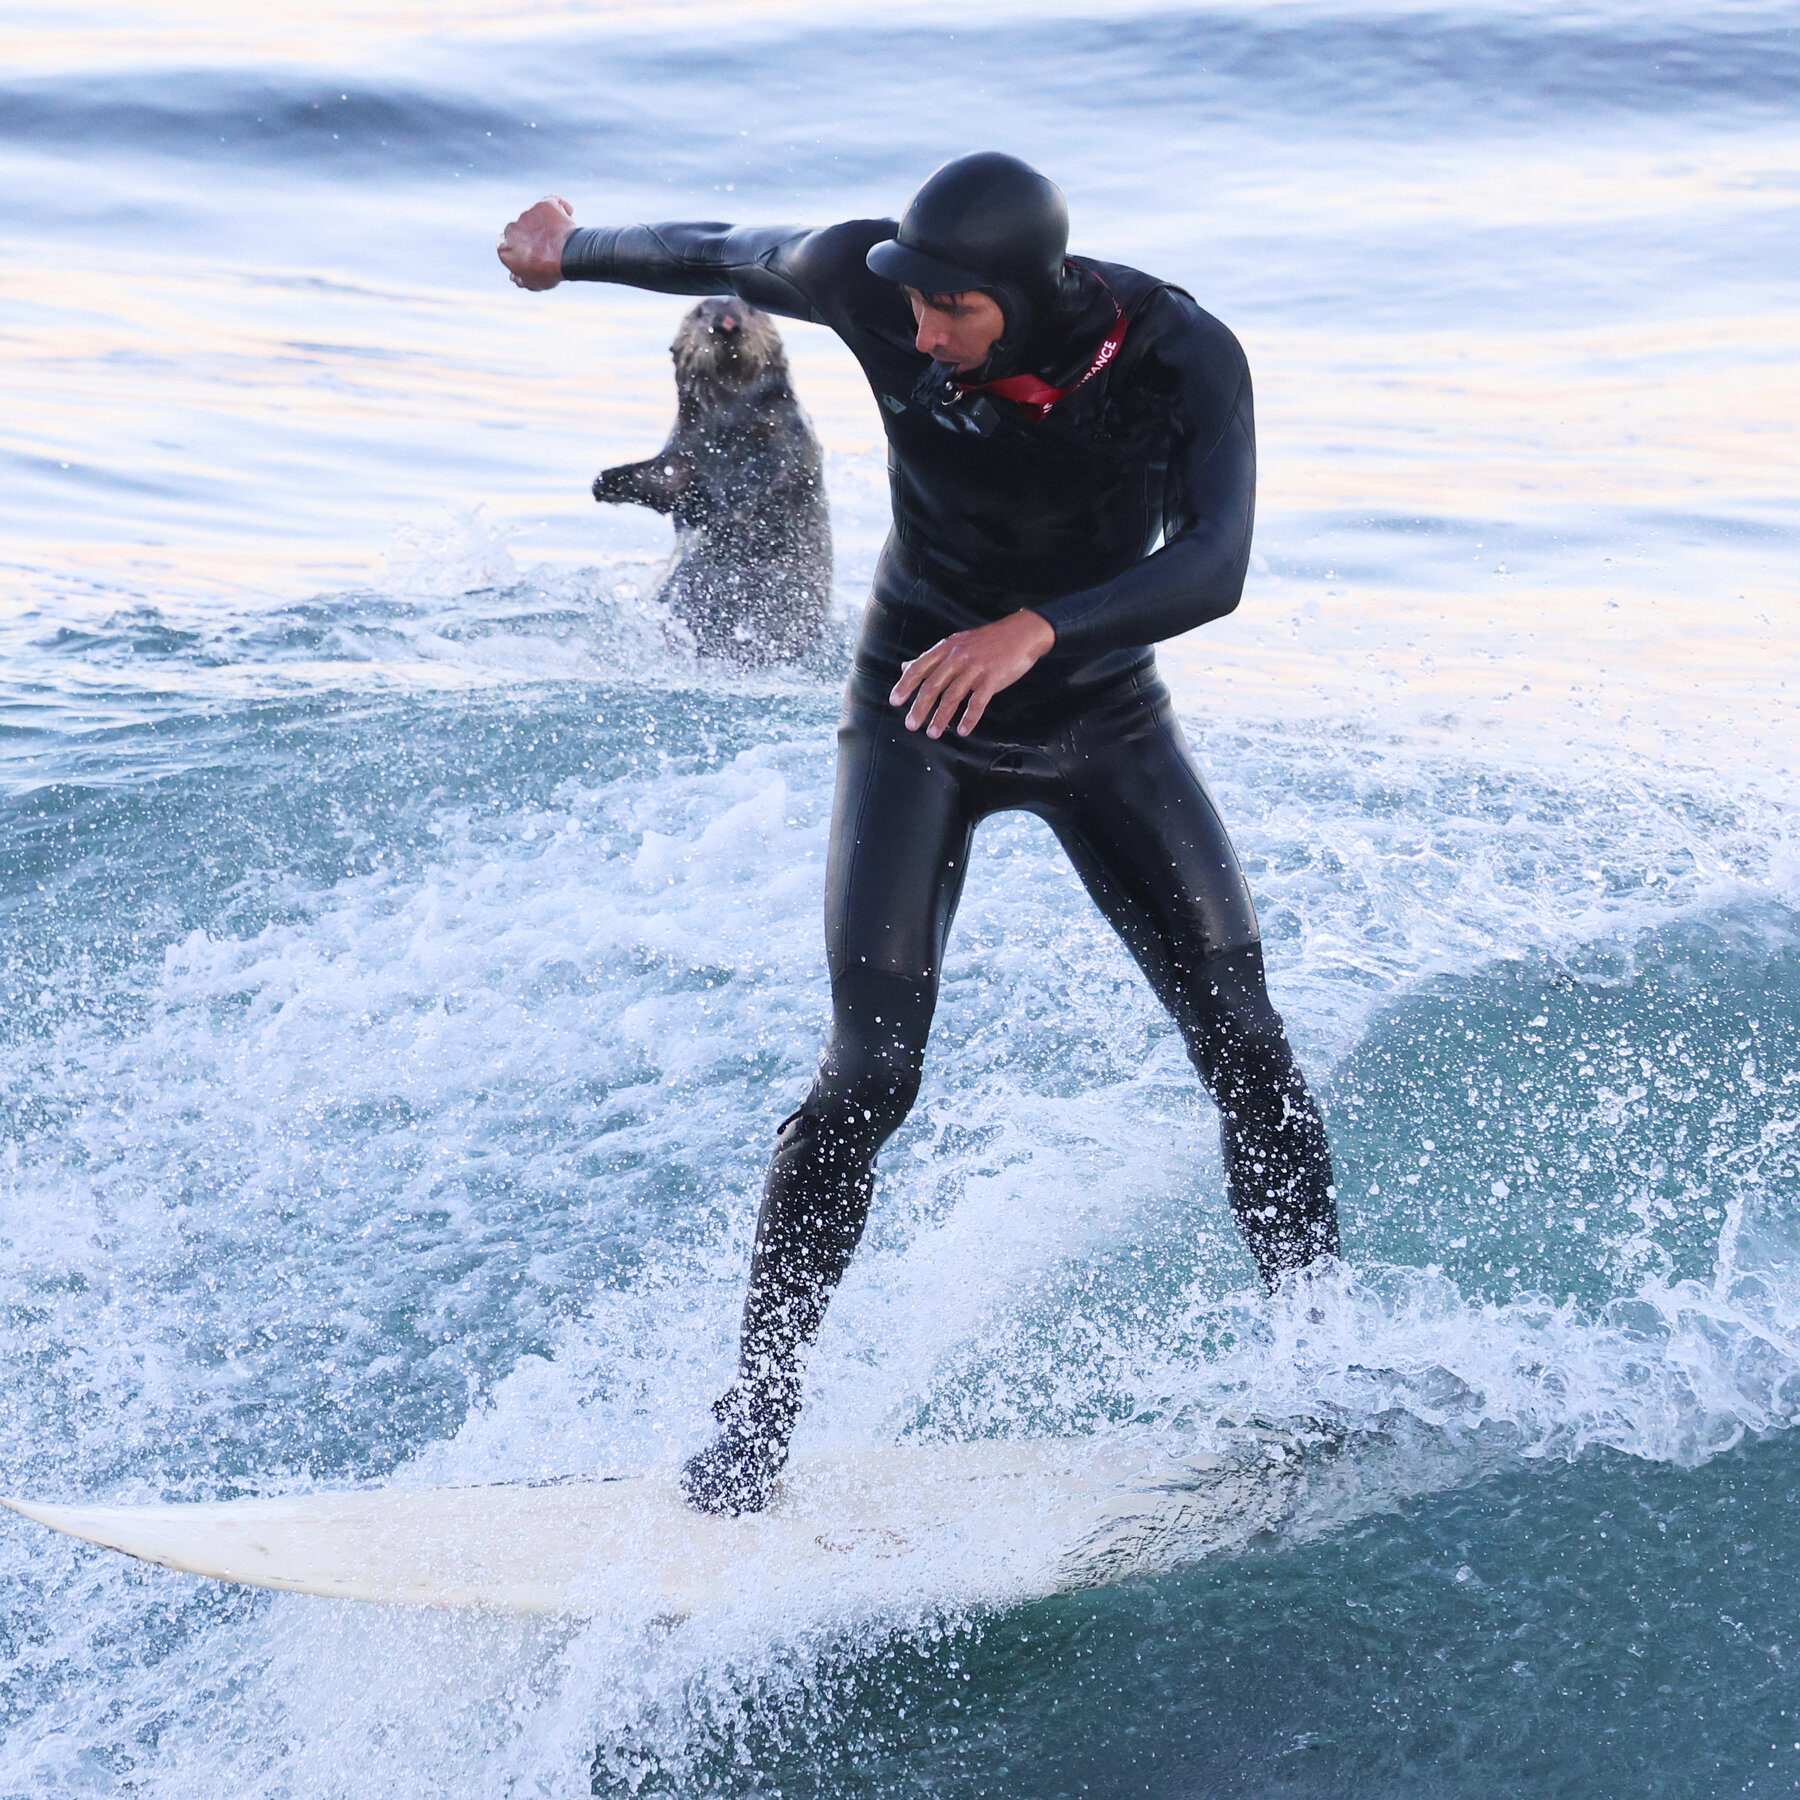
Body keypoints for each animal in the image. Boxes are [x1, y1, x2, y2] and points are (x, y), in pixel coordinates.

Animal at [593, 297, 832, 665]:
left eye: (750, 309)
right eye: (699, 312)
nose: (727, 323)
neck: (730, 425)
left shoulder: (786, 438)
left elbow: (776, 480)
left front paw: (732, 517)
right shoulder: (684, 452)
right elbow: (665, 482)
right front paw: (605, 483)